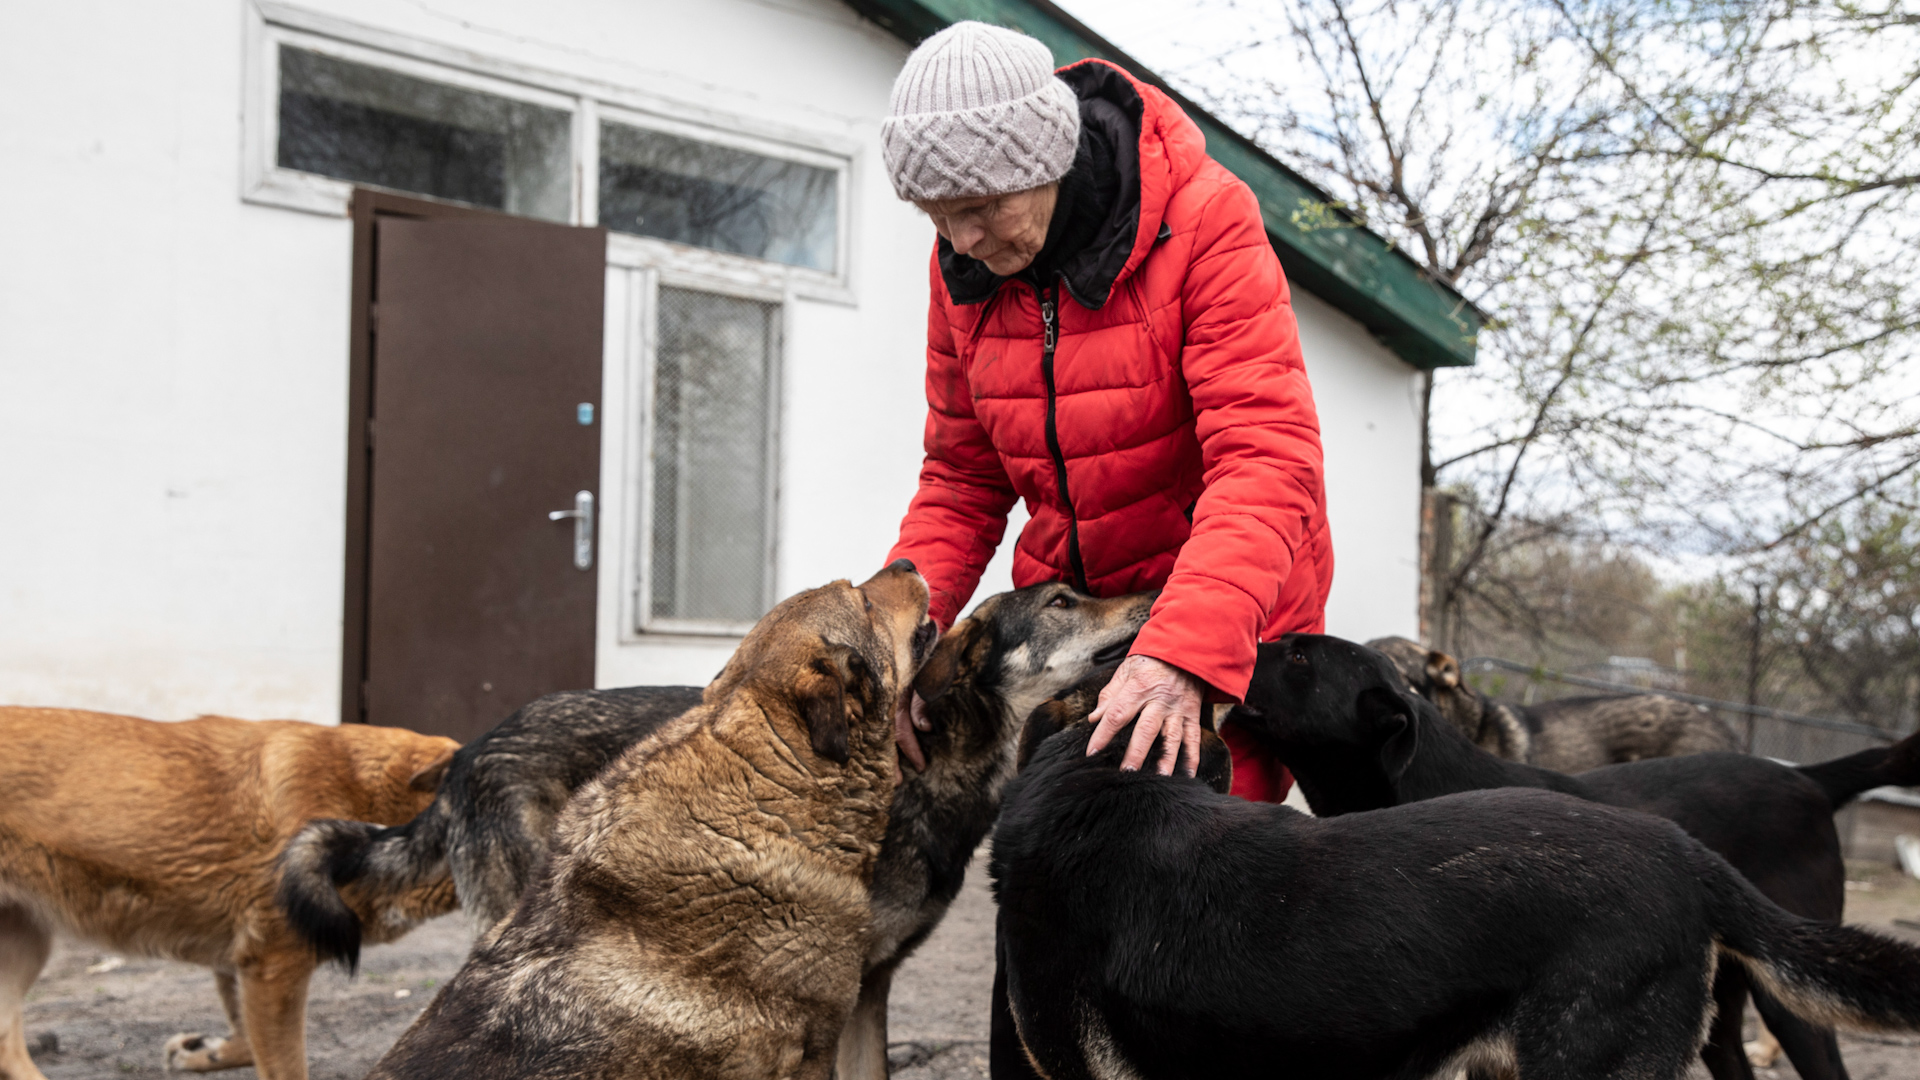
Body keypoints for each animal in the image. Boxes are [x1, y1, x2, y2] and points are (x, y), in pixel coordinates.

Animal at [0, 707, 456, 1076]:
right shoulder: (275, 966)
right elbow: (286, 1065)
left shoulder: (245, 962)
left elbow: (247, 1037)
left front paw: (206, 1052)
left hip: (25, 946)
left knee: (7, 1042)